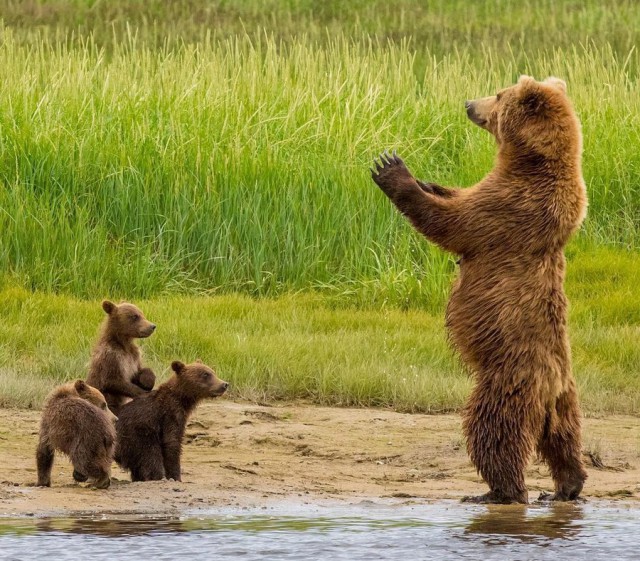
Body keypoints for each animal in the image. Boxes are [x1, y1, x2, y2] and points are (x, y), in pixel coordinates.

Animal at [372, 73, 588, 504]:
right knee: (564, 438)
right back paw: (567, 485)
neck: (532, 162)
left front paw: (393, 170)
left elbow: (452, 223)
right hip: (565, 400)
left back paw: (499, 491)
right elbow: (458, 195)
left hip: (505, 382)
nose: (469, 103)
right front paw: (428, 180)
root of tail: (551, 385)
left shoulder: (508, 208)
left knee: (493, 432)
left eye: (500, 94)